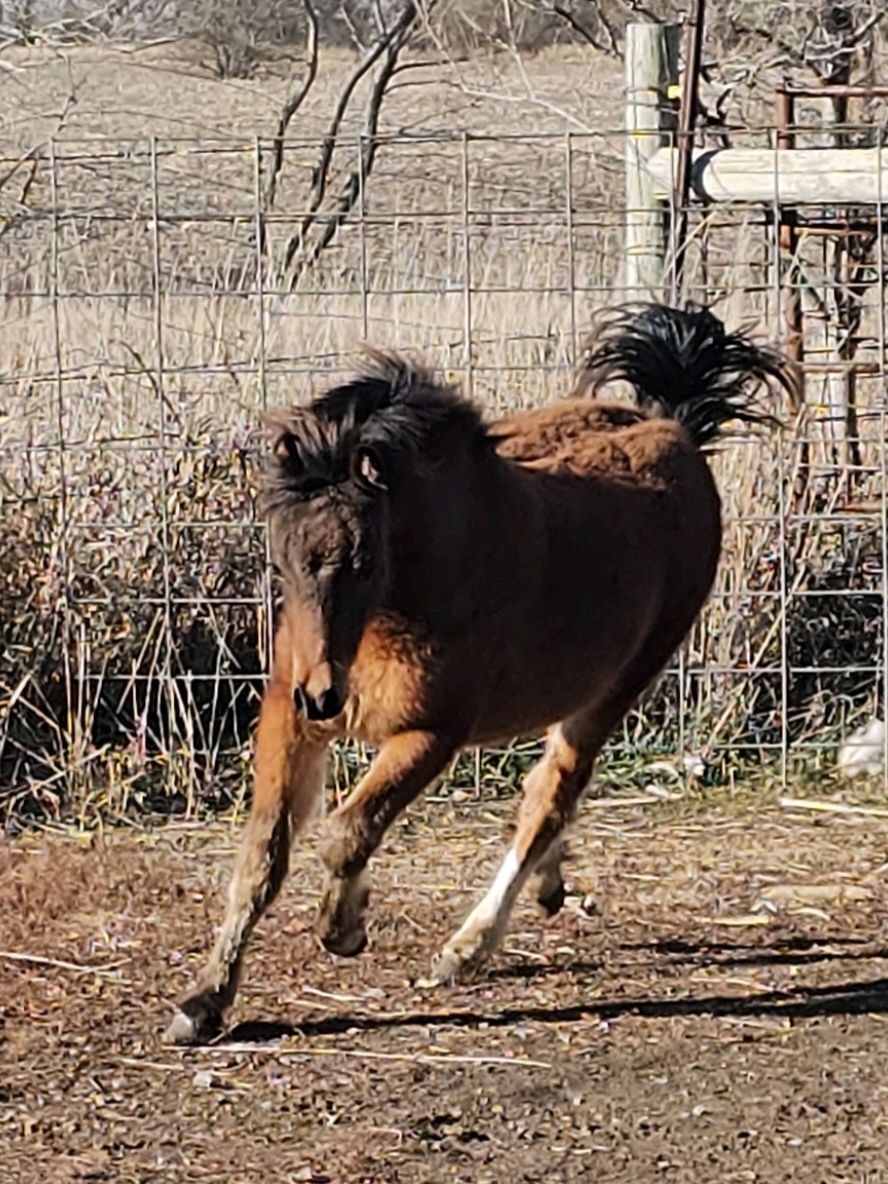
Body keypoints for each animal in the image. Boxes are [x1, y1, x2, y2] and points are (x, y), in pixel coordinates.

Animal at [165, 301, 793, 1045]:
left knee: (548, 797)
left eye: (361, 557)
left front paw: (344, 926)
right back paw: (549, 888)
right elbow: (264, 856)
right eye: (282, 555)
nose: (324, 694)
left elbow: (347, 833)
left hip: (617, 688)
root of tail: (675, 423)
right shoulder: (288, 719)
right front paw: (203, 1001)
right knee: (547, 795)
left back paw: (466, 948)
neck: (397, 608)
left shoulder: (432, 732)